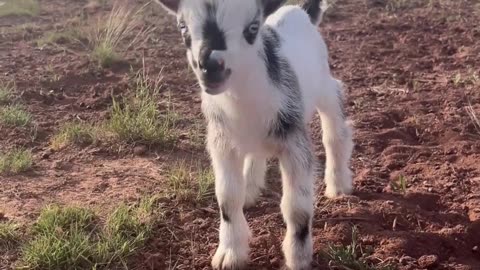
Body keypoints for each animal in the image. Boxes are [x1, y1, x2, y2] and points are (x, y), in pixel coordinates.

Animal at [156, 0, 354, 268]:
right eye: (182, 27)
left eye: (252, 27)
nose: (211, 66)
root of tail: (298, 11)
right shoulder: (221, 142)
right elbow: (227, 197)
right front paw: (230, 253)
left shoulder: (294, 141)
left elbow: (297, 207)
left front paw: (297, 258)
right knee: (255, 153)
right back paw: (250, 188)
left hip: (323, 84)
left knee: (335, 124)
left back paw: (339, 183)